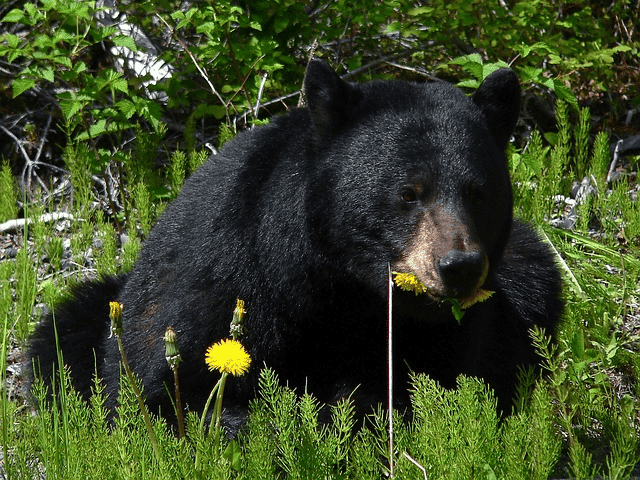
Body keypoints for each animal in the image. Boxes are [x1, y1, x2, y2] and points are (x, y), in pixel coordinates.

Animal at [29, 59, 562, 430]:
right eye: (409, 192)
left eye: (478, 192)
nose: (459, 266)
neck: (339, 286)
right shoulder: (221, 283)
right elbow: (163, 390)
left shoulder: (448, 333)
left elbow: (439, 384)